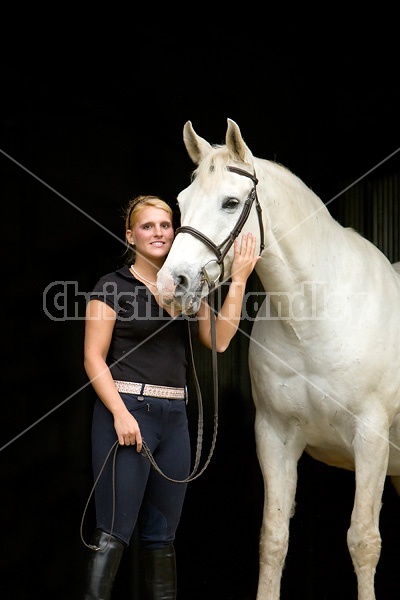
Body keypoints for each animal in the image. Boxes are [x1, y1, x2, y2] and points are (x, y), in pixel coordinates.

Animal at [157, 118, 400, 600]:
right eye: (181, 203)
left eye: (231, 202)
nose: (172, 284)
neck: (314, 316)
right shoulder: (274, 436)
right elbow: (273, 538)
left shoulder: (371, 438)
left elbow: (363, 541)